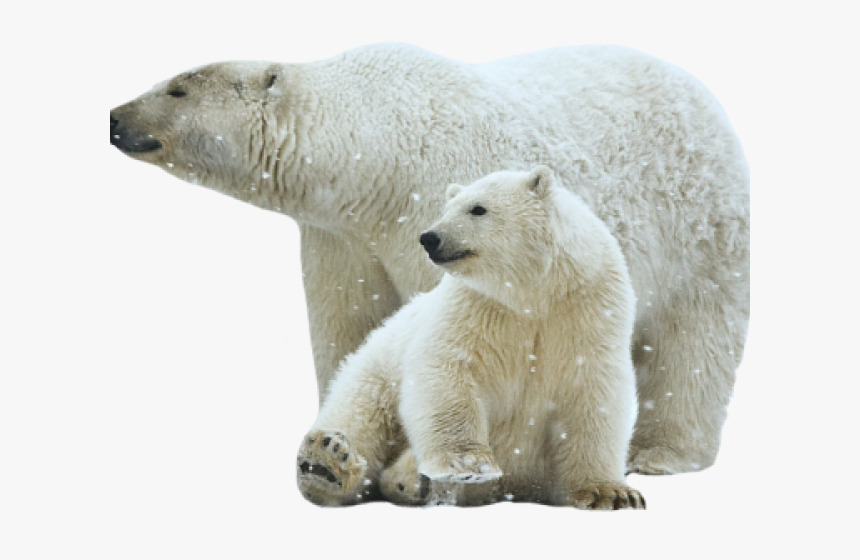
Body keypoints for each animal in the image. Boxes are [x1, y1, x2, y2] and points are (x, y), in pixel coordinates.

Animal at [295, 167, 644, 509]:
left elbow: (594, 394)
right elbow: (449, 367)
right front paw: (467, 464)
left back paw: (407, 478)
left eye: (478, 208)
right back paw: (327, 462)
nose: (429, 237)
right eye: (446, 208)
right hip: (376, 369)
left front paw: (612, 493)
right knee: (361, 411)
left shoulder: (588, 311)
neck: (534, 293)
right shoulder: (476, 306)